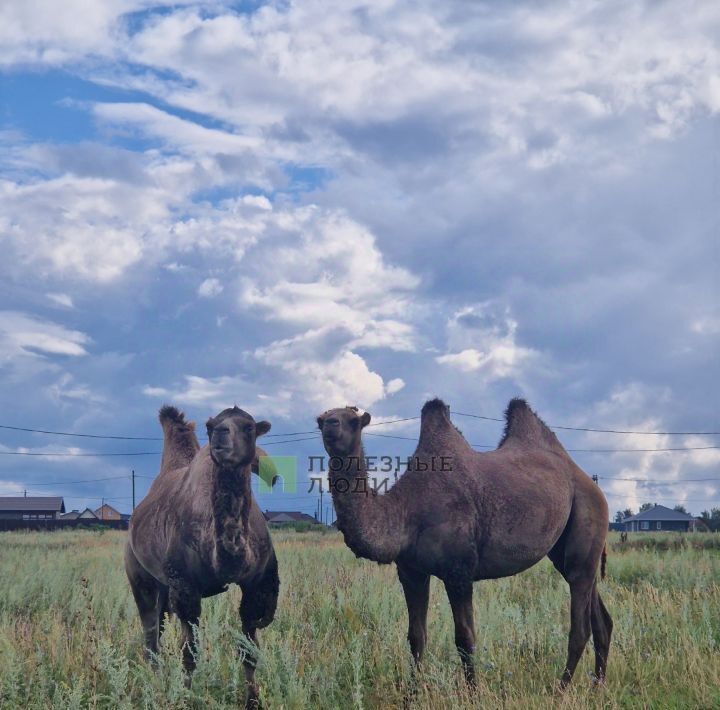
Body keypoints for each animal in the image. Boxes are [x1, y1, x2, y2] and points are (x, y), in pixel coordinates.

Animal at [126, 408, 278, 708]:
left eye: (249, 427)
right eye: (210, 426)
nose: (221, 434)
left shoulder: (255, 585)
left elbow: (249, 650)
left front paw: (253, 702)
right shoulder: (185, 588)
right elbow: (190, 653)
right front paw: (186, 698)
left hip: (164, 589)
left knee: (157, 631)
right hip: (139, 575)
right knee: (150, 636)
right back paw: (156, 684)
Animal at [318, 398, 612, 688]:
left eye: (353, 421)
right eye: (321, 419)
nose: (330, 423)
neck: (406, 510)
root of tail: (588, 481)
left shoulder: (458, 571)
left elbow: (465, 639)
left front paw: (473, 693)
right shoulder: (411, 572)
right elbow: (416, 636)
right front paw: (411, 694)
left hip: (588, 515)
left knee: (580, 624)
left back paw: (561, 688)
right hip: (567, 551)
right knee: (601, 617)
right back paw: (597, 684)